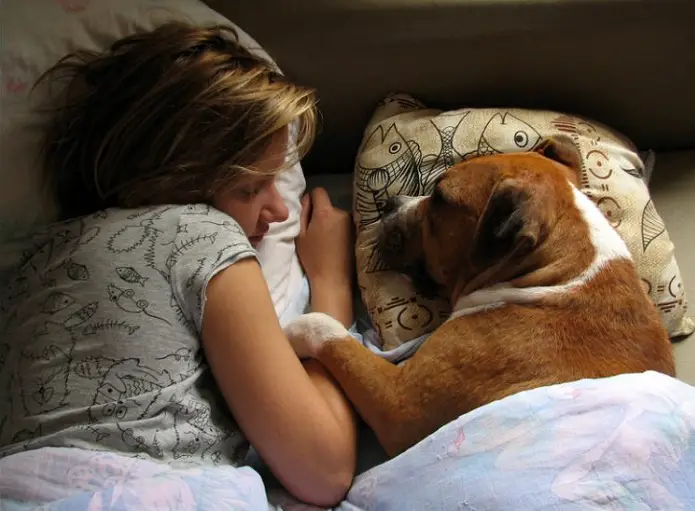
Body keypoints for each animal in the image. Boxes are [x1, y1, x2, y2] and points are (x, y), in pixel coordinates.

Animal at [284, 135, 676, 456]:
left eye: (441, 197)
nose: (391, 202)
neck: (559, 274)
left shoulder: (399, 404)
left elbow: (330, 332)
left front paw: (289, 330)